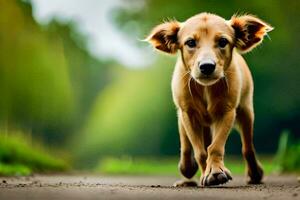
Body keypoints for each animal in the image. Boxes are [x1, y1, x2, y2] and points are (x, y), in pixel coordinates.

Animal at [146, 12, 274, 188]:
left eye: (223, 42)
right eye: (190, 42)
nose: (207, 66)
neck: (206, 88)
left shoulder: (227, 111)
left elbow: (216, 147)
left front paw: (215, 172)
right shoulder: (188, 114)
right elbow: (200, 151)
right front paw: (205, 171)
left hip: (246, 110)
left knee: (248, 147)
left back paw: (254, 174)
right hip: (184, 116)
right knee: (186, 145)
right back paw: (187, 169)